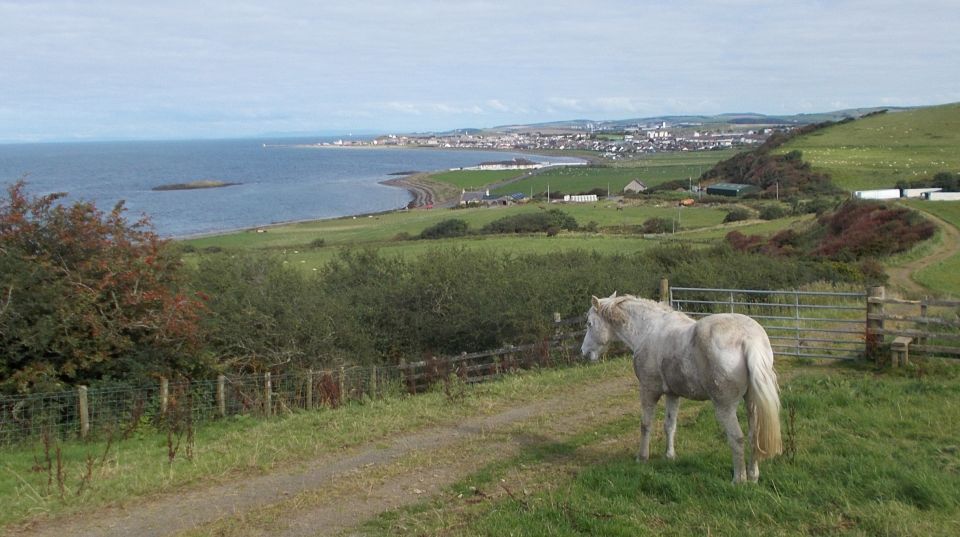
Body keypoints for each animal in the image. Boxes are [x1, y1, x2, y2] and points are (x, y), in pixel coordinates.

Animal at [580, 294, 784, 482]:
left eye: (589, 323)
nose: (584, 352)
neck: (647, 330)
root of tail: (748, 339)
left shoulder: (648, 391)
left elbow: (645, 425)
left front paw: (642, 457)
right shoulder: (673, 394)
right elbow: (670, 425)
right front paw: (669, 456)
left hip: (725, 407)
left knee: (737, 438)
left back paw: (739, 480)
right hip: (751, 403)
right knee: (753, 435)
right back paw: (753, 476)